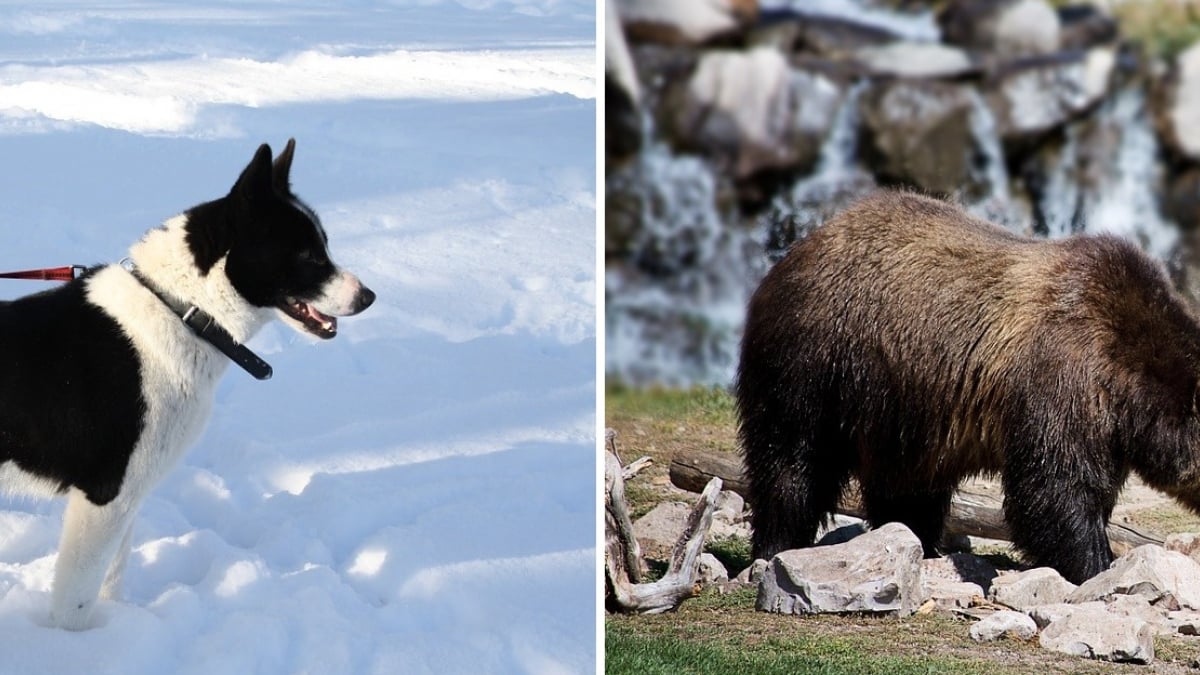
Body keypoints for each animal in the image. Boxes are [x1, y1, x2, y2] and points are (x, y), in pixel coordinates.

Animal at [0, 139, 372, 629]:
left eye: (325, 245)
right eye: (309, 255)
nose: (368, 297)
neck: (183, 312)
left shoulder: (126, 500)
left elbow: (110, 581)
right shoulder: (103, 498)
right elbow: (74, 606)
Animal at [734, 190, 1200, 583]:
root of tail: (799, 249)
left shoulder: (1107, 429)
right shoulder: (1062, 377)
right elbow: (1054, 488)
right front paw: (1095, 566)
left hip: (901, 407)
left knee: (907, 487)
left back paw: (918, 543)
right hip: (817, 361)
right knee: (792, 461)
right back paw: (776, 547)